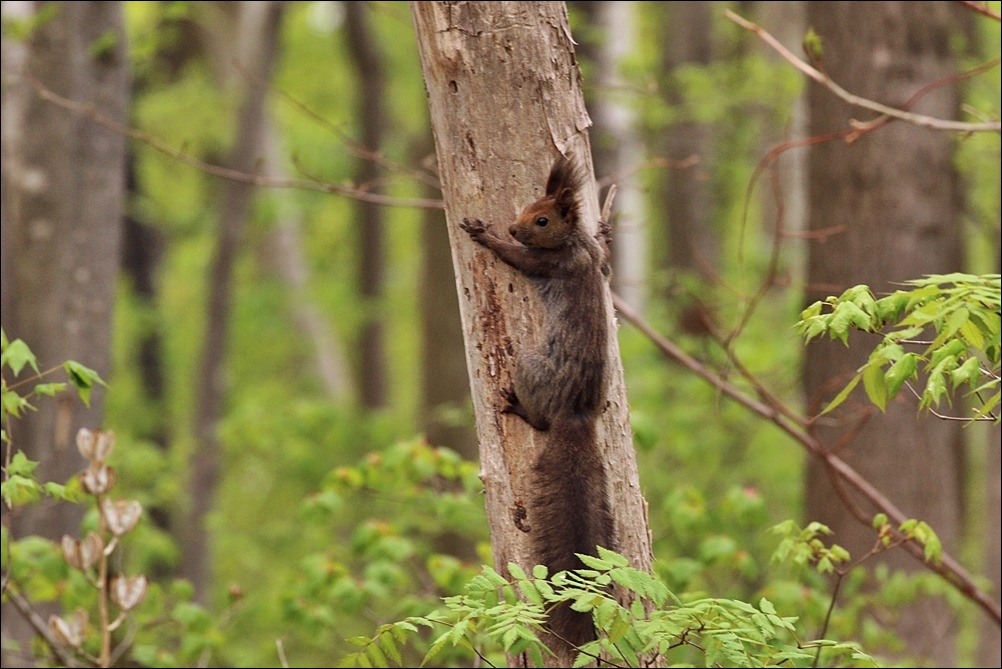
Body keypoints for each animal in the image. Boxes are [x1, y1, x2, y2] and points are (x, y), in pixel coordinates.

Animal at [458, 155, 613, 652]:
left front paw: (485, 235)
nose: (512, 225)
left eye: (542, 220)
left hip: (528, 365)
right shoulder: (591, 257)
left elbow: (517, 257)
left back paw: (517, 407)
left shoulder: (550, 263)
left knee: (540, 421)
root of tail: (574, 414)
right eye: (527, 207)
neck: (573, 241)